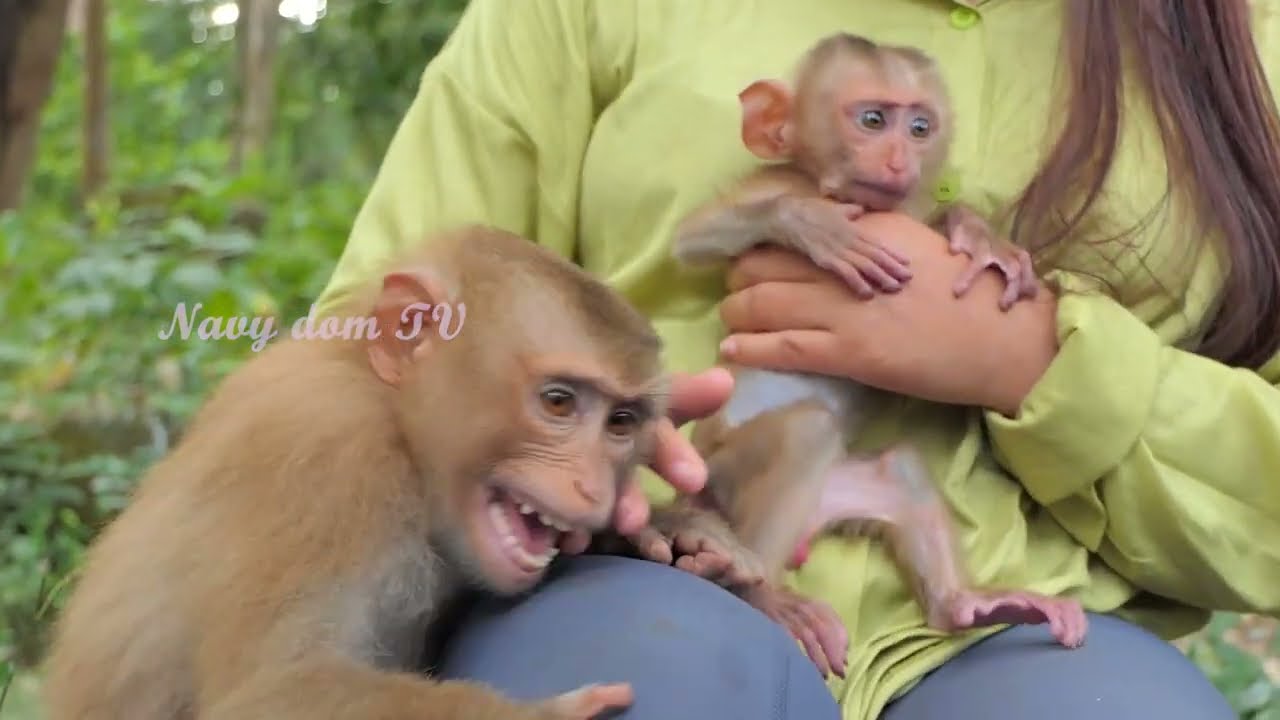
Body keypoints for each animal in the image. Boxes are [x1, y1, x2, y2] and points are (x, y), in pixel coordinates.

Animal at [39, 225, 671, 720]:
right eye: (558, 402)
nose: (592, 487)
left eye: (621, 422)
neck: (397, 424)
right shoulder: (325, 451)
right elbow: (273, 694)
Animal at [634, 33, 1086, 678]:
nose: (900, 160)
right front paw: (811, 225)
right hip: (726, 470)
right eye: (872, 120)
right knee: (805, 432)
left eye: (920, 126)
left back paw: (964, 604)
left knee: (901, 469)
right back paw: (757, 586)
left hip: (841, 490)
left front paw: (980, 237)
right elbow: (693, 238)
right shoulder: (769, 184)